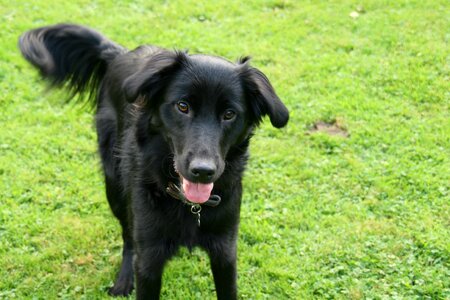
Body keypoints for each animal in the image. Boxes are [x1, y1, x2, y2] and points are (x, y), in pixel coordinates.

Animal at [19, 24, 288, 300]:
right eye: (183, 106)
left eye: (229, 114)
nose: (203, 171)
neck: (188, 205)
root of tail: (118, 54)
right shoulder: (149, 258)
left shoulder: (225, 251)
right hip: (115, 187)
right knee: (128, 237)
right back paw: (124, 279)